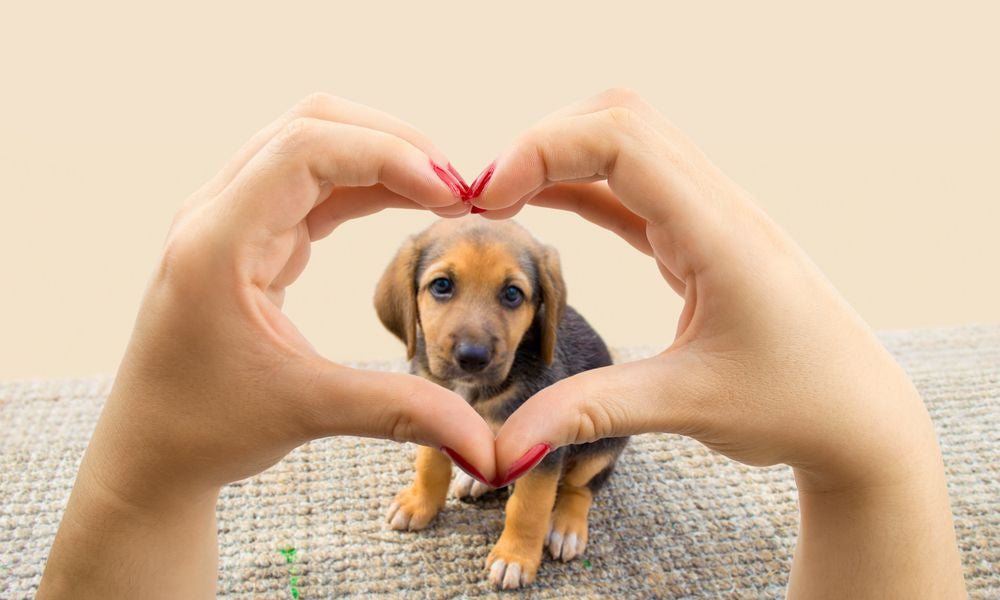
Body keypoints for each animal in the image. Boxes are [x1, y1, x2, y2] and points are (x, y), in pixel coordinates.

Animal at [374, 217, 624, 592]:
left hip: (600, 447)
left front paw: (514, 557)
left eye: (512, 294)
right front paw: (420, 503)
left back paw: (565, 527)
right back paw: (473, 478)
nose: (472, 358)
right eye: (442, 285)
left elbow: (528, 508)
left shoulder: (542, 451)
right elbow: (430, 467)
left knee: (581, 487)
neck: (473, 391)